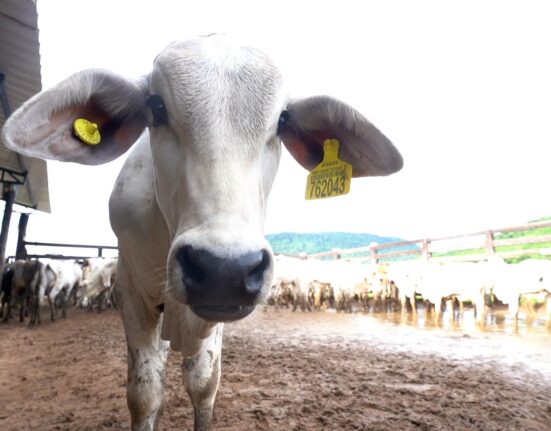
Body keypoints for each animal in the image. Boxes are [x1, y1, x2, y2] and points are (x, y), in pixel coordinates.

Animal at [2, 35, 402, 430]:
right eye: (156, 106)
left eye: (283, 119)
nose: (224, 269)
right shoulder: (131, 292)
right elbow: (144, 394)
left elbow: (203, 383)